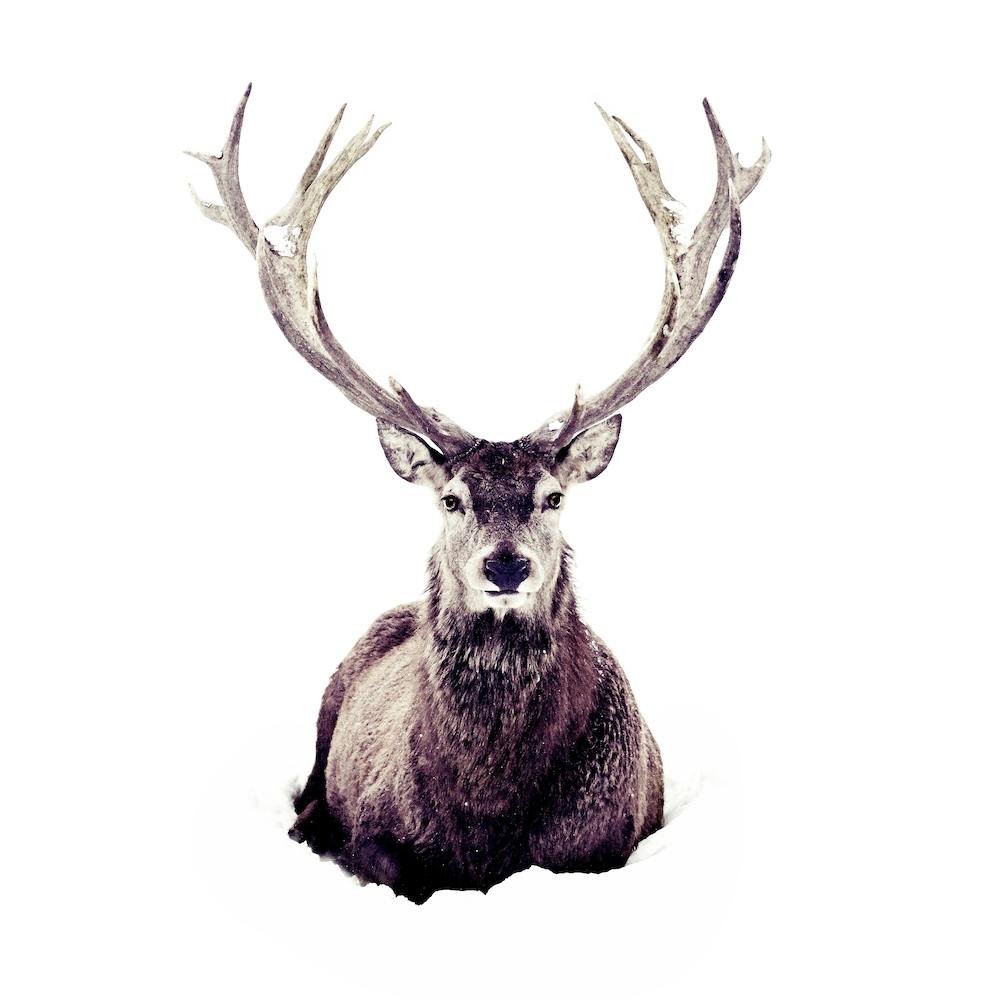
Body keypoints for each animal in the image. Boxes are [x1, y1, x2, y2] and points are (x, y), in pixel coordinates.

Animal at [187, 85, 768, 903]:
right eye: (452, 500)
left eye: (553, 496)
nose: (505, 564)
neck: (486, 813)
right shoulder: (377, 828)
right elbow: (389, 865)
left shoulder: (608, 840)